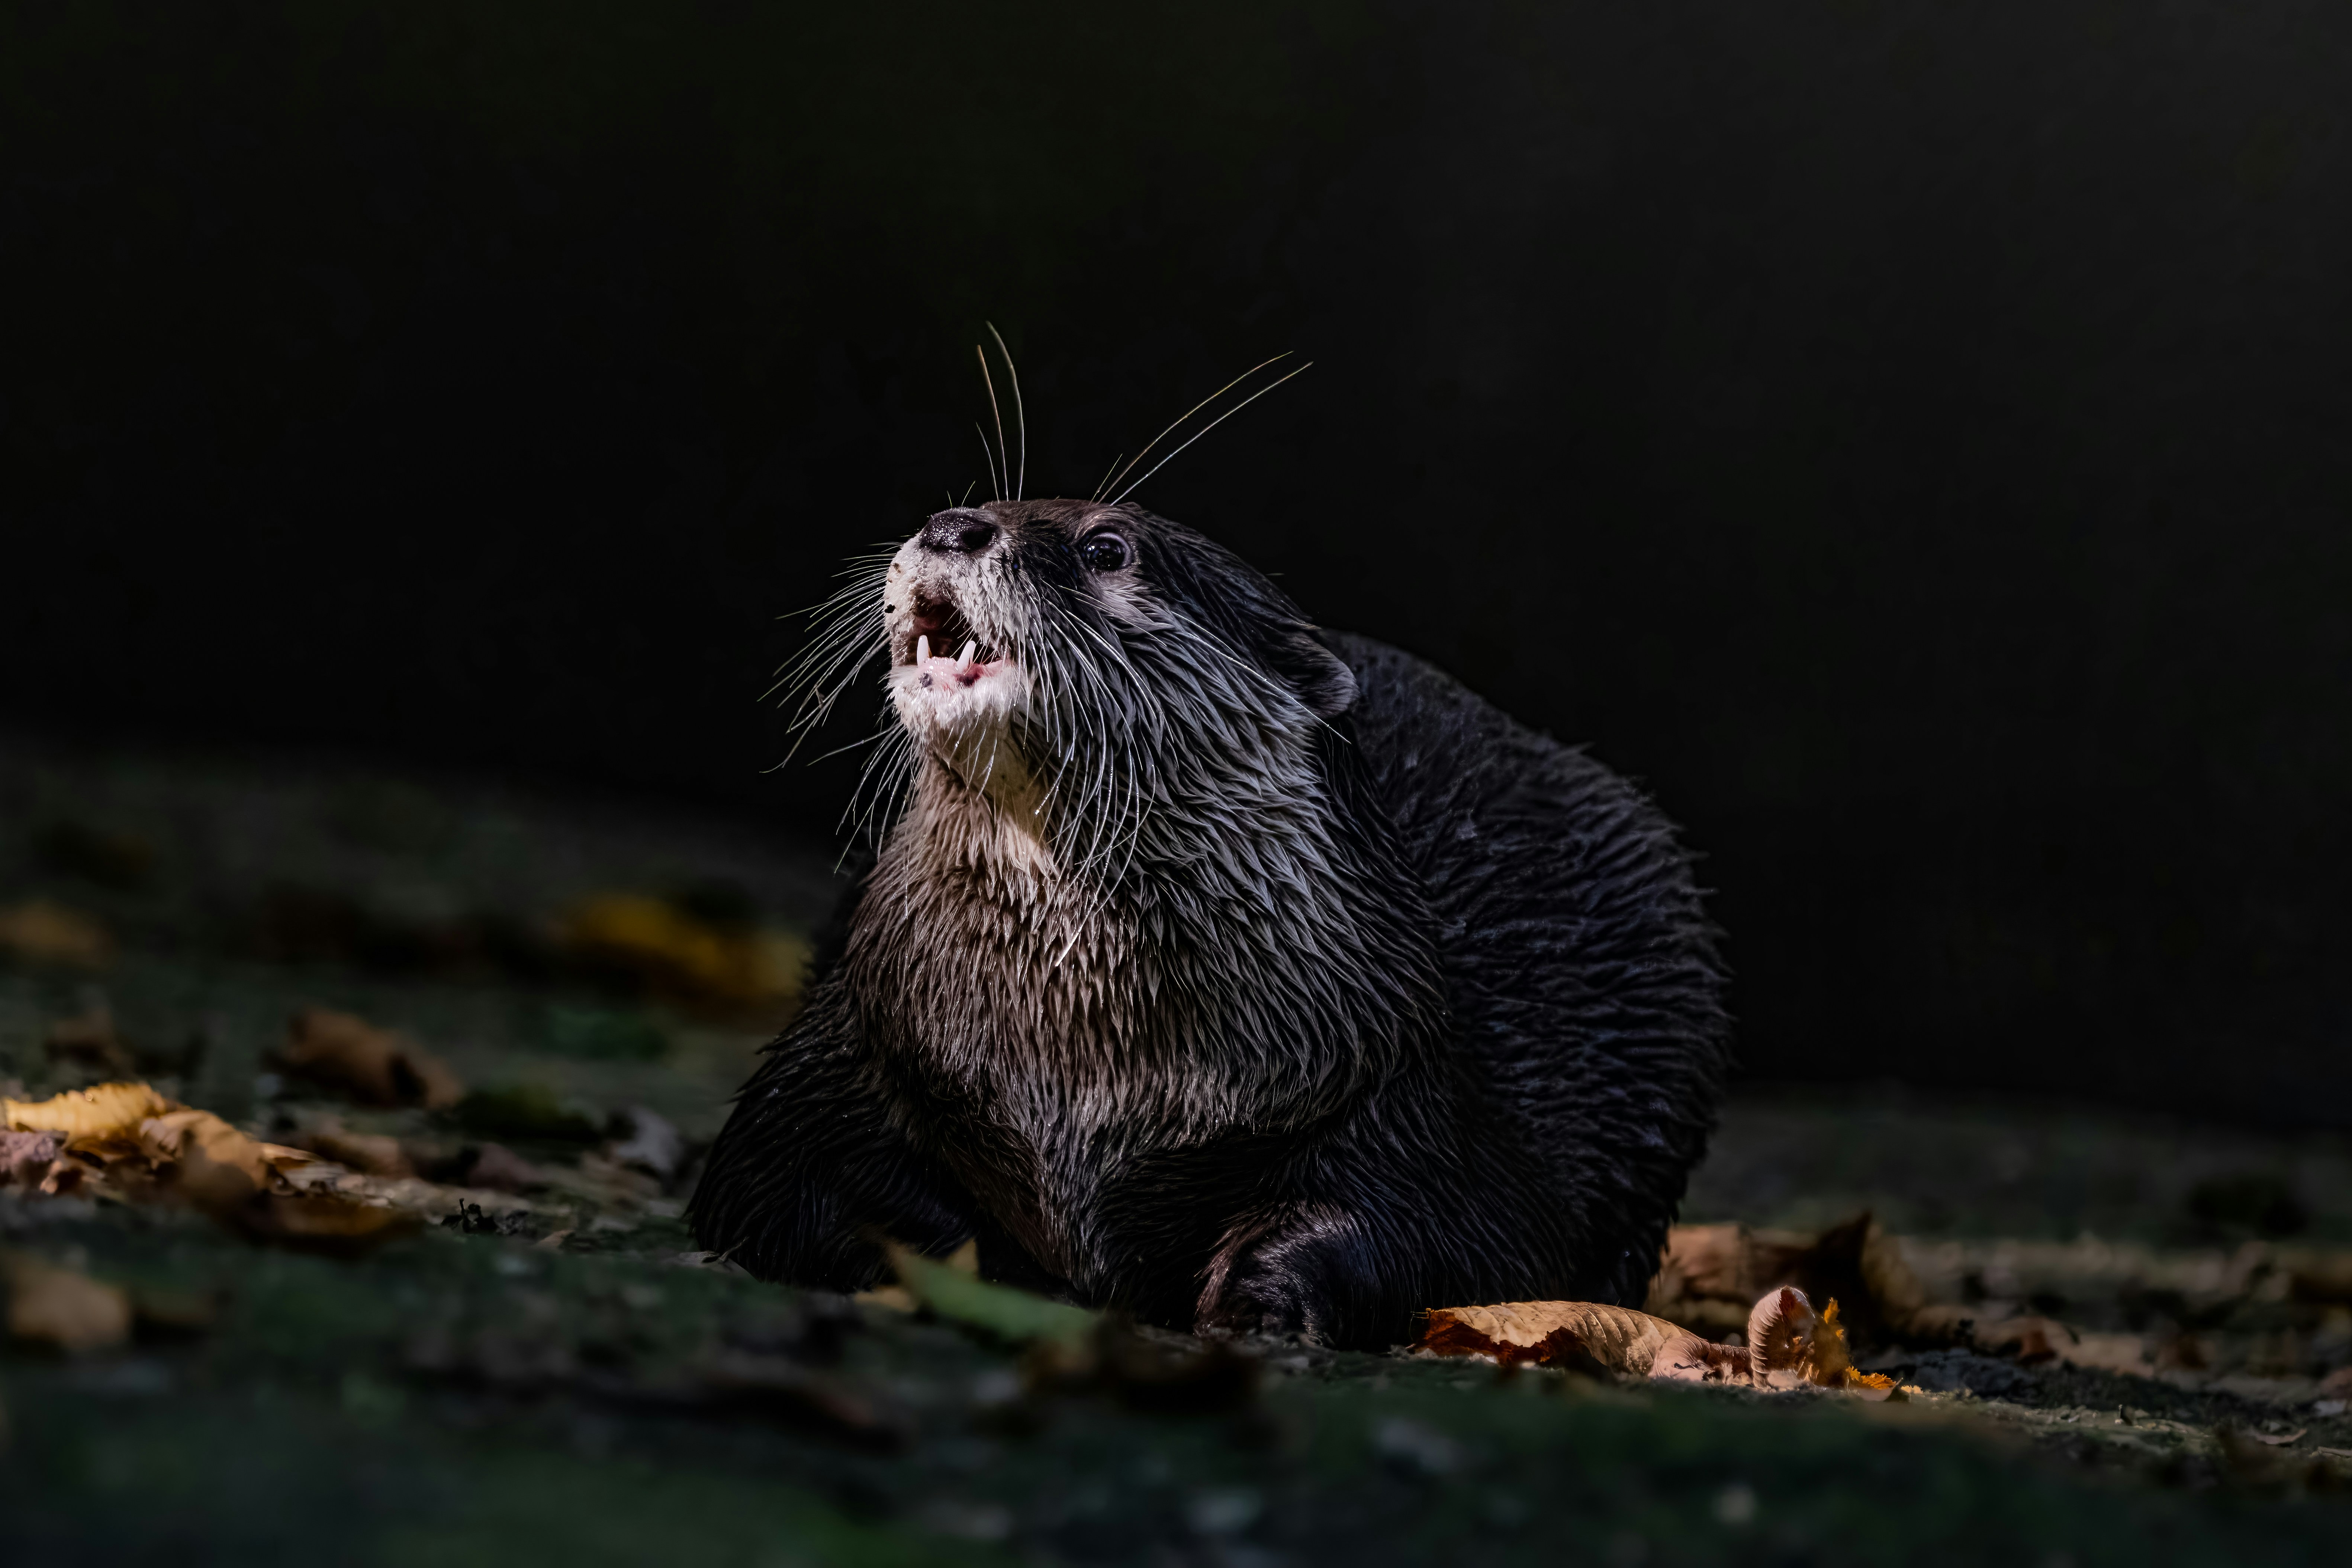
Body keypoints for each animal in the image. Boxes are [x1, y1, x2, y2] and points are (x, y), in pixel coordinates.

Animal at [692, 499, 1730, 1348]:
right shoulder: (870, 1033)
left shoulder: (1407, 1082)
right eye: (973, 501)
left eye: (1106, 547)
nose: (952, 526)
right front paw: (981, 1265)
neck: (1082, 1071)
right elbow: (777, 1176)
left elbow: (1438, 1227)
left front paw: (1265, 1299)